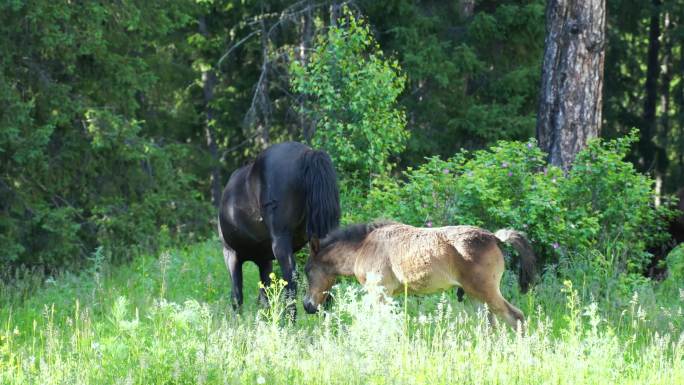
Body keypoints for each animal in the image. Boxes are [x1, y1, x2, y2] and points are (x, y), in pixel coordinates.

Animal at [218, 141, 340, 312]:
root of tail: (307, 154)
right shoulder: (264, 261)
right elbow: (265, 298)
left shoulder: (231, 254)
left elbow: (237, 297)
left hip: (280, 242)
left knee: (290, 277)